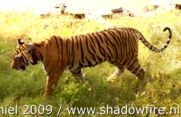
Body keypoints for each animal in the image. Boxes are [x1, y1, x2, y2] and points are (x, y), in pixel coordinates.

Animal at [10, 27, 172, 97]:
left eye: (17, 58)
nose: (12, 67)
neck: (38, 52)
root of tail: (130, 29)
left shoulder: (53, 74)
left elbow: (48, 88)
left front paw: (45, 101)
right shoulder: (75, 69)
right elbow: (84, 81)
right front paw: (91, 92)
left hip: (129, 59)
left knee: (142, 72)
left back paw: (143, 88)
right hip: (116, 58)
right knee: (121, 69)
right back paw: (110, 79)